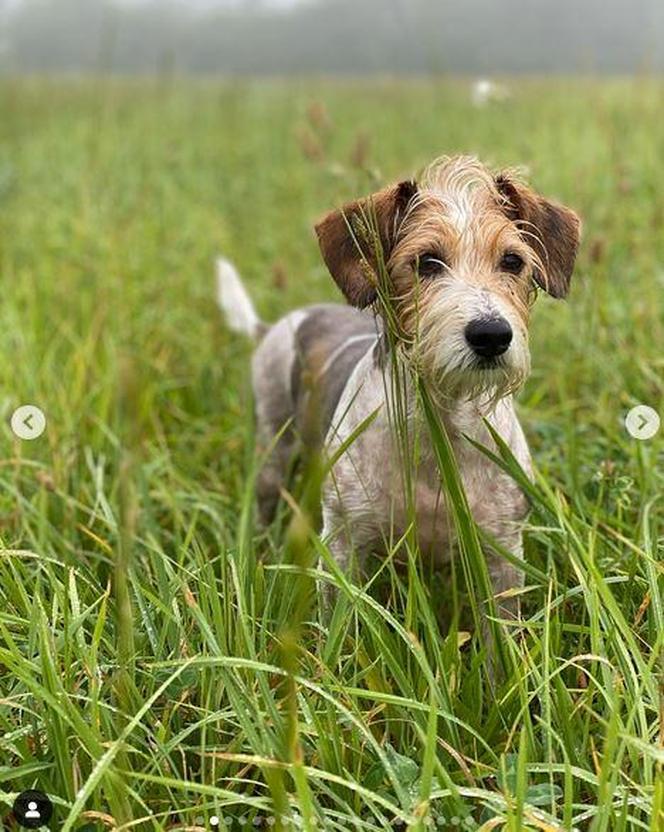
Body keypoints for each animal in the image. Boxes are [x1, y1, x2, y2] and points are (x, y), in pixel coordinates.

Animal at [219, 154, 580, 644]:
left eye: (512, 260)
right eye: (427, 261)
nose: (491, 335)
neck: (438, 428)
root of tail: (278, 325)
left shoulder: (502, 553)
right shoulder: (345, 546)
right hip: (273, 449)